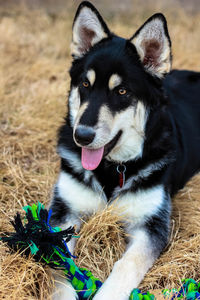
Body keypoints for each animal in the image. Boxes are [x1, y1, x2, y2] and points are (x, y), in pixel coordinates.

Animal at [48, 1, 200, 298]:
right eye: (85, 84)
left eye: (121, 92)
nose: (82, 136)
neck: (111, 168)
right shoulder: (64, 210)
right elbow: (58, 265)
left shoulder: (150, 226)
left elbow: (126, 266)